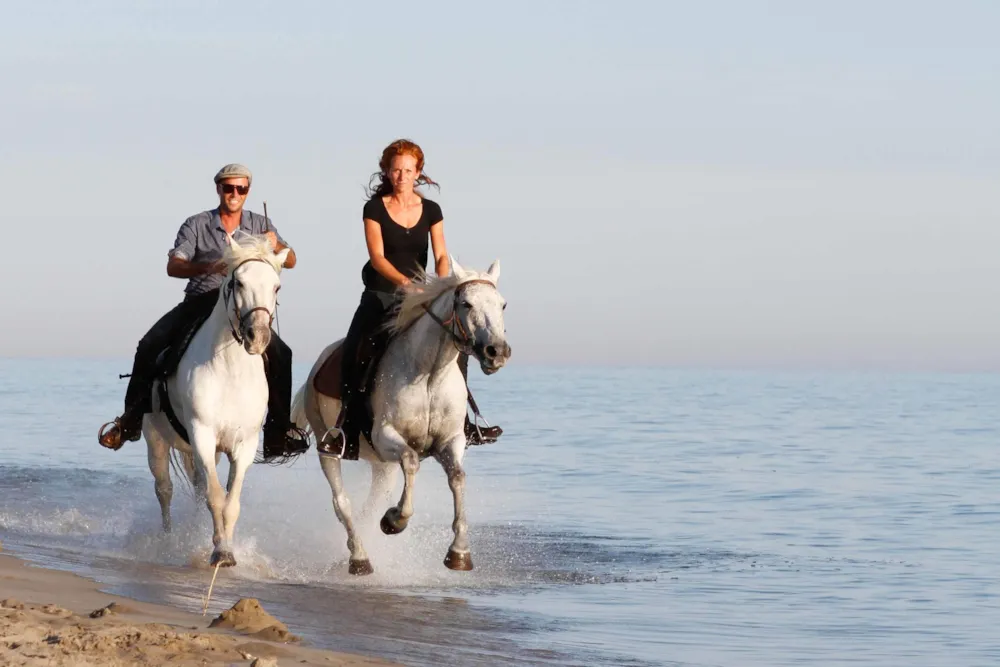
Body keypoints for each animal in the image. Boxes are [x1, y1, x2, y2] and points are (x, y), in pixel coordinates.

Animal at [143, 235, 290, 568]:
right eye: (238, 282)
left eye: (276, 287)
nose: (258, 337)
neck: (230, 371)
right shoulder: (202, 434)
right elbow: (215, 496)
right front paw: (220, 552)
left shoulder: (243, 445)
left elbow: (230, 501)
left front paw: (227, 549)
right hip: (155, 438)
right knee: (164, 490)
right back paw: (167, 541)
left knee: (194, 488)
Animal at [288, 258, 508, 576]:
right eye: (466, 304)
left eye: (502, 305)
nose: (497, 352)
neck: (429, 373)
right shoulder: (385, 436)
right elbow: (412, 461)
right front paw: (394, 521)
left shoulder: (451, 441)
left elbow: (457, 477)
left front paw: (459, 553)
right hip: (327, 444)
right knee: (342, 502)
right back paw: (359, 558)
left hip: (382, 466)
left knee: (370, 503)